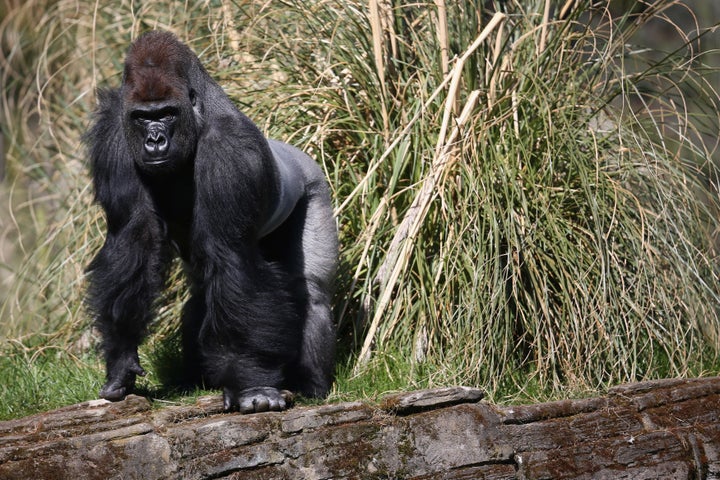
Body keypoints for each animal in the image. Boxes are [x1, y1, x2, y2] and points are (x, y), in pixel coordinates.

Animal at [86, 31, 338, 412]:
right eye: (143, 117)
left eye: (167, 114)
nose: (155, 141)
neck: (196, 112)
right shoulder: (113, 138)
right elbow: (133, 238)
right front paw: (120, 358)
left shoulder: (230, 152)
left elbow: (229, 255)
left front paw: (252, 384)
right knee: (202, 290)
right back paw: (197, 378)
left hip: (313, 183)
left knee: (308, 287)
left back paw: (310, 383)